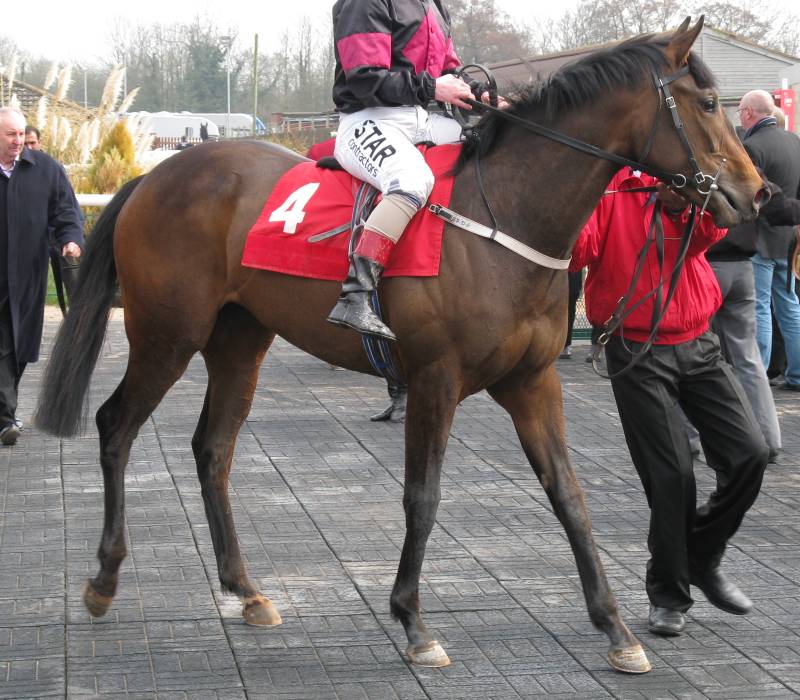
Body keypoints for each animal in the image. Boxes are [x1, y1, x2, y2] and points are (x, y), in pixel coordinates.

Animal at [35, 18, 766, 675]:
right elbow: (424, 496)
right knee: (115, 425)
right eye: (707, 104)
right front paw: (414, 623)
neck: (505, 215)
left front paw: (616, 627)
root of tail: (158, 175)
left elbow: (569, 495)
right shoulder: (435, 379)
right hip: (167, 335)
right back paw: (103, 580)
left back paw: (246, 592)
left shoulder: (533, 381)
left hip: (239, 341)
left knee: (213, 450)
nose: (757, 194)